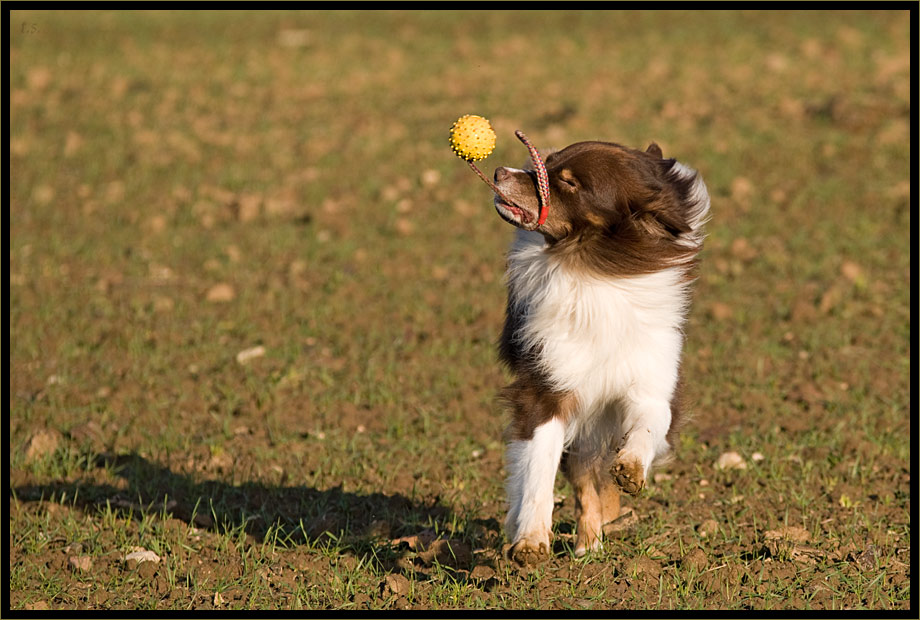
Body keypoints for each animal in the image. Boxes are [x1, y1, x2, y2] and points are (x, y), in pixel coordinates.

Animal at [492, 140, 708, 568]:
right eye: (546, 161)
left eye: (569, 183)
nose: (498, 172)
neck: (592, 269)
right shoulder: (546, 389)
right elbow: (538, 469)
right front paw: (530, 540)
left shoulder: (652, 383)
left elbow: (646, 427)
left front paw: (630, 470)